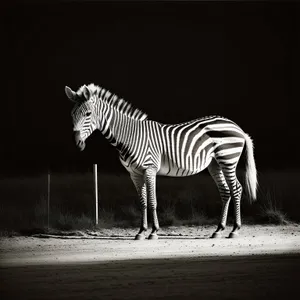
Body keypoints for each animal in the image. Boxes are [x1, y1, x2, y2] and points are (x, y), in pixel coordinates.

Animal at [64, 83, 256, 240]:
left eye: (88, 114)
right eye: (72, 114)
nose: (77, 143)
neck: (129, 136)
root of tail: (236, 126)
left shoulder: (149, 168)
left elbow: (152, 201)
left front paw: (154, 232)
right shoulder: (134, 173)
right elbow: (142, 202)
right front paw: (141, 232)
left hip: (228, 158)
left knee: (236, 189)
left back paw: (235, 230)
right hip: (215, 163)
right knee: (225, 191)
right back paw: (219, 230)